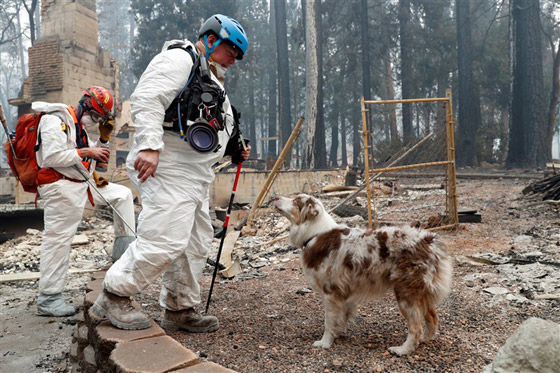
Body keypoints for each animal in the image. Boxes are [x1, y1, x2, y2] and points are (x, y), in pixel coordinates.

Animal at [274, 193, 452, 354]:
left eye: (296, 201)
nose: (275, 197)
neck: (315, 233)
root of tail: (428, 240)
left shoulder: (330, 292)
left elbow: (328, 322)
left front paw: (325, 343)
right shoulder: (343, 294)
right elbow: (341, 318)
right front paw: (338, 334)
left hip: (405, 293)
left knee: (416, 327)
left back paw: (403, 350)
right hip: (420, 293)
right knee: (433, 318)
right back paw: (424, 340)